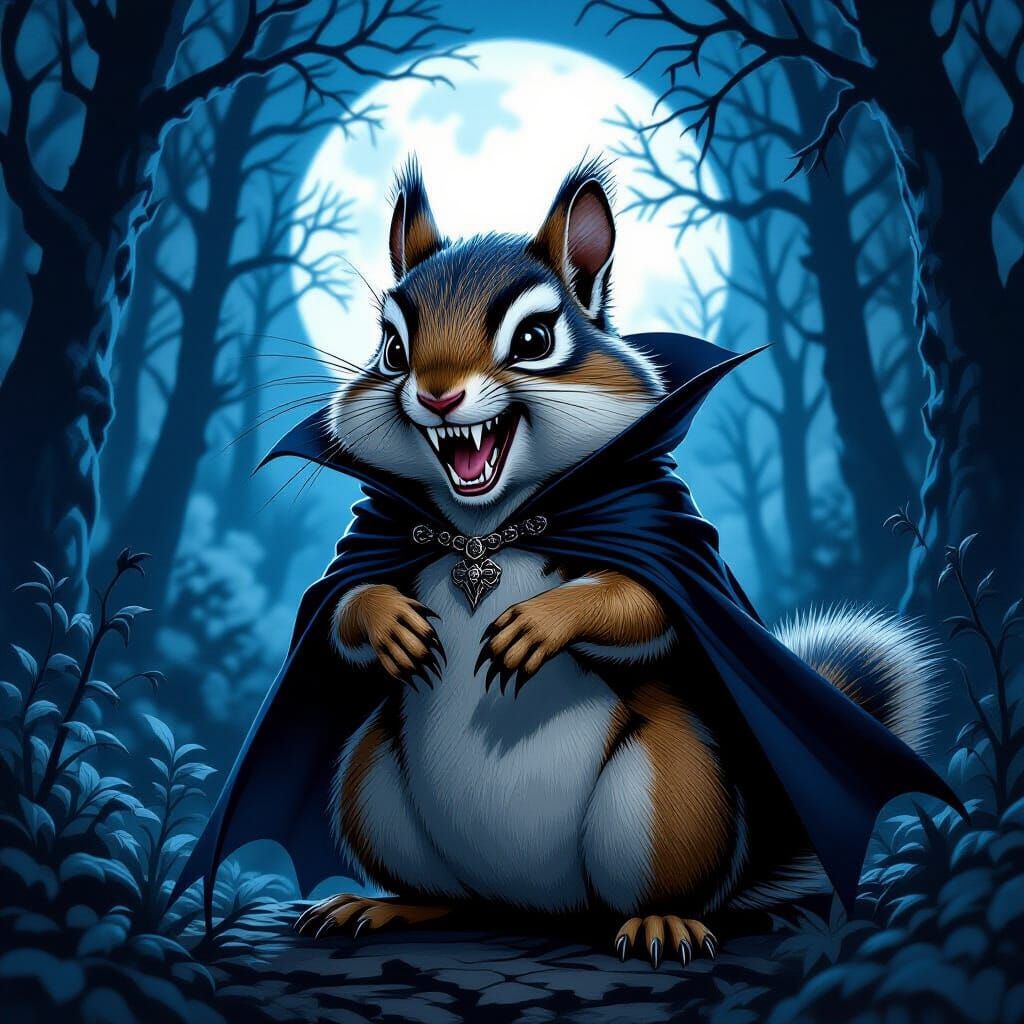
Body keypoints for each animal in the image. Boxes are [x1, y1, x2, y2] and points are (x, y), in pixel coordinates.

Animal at [293, 157, 941, 968]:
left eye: (536, 337)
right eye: (391, 350)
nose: (438, 396)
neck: (484, 530)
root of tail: (528, 904)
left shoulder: (660, 535)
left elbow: (646, 606)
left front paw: (539, 624)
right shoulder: (373, 539)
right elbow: (337, 607)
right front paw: (389, 623)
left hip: (667, 794)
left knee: (662, 890)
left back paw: (663, 923)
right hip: (369, 781)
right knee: (444, 894)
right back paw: (384, 906)